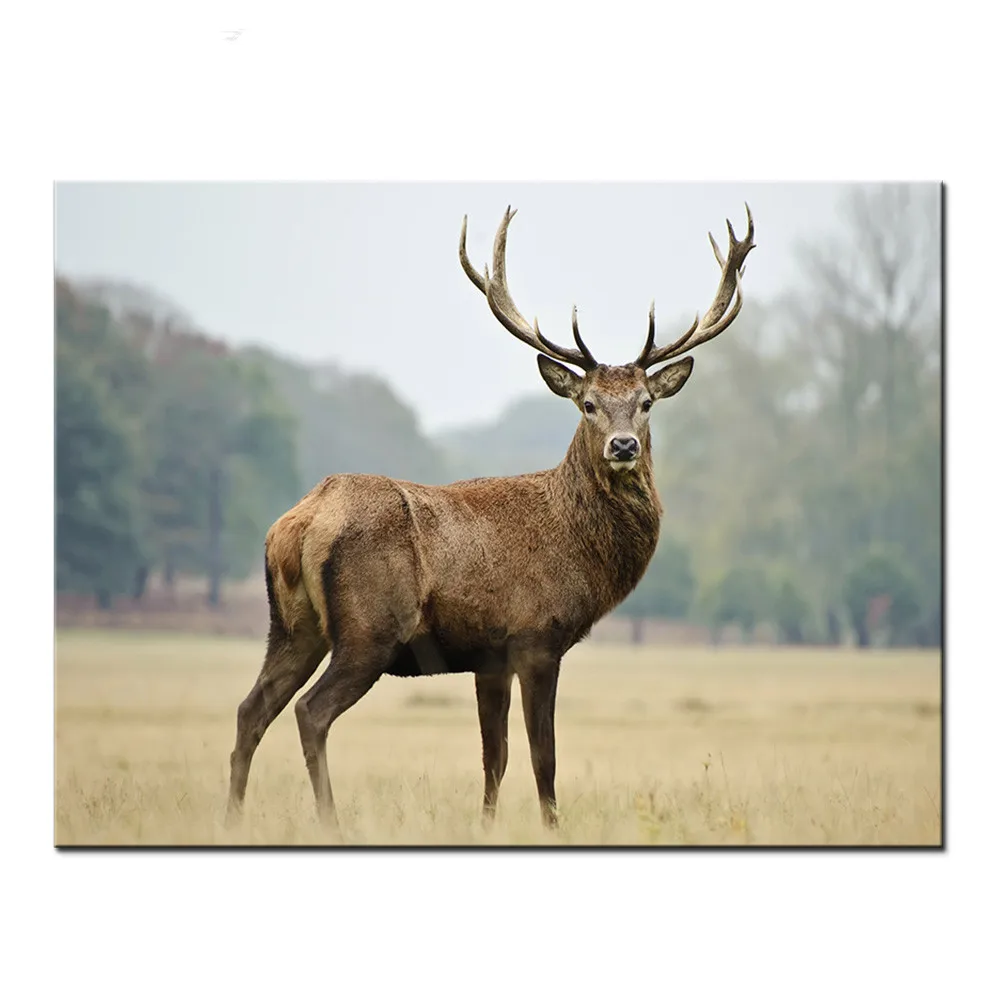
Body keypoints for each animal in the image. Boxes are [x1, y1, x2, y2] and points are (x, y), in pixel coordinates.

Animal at [226, 204, 755, 834]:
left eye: (646, 403)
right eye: (588, 404)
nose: (623, 445)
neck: (578, 549)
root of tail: (297, 524)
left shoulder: (489, 657)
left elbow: (494, 758)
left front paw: (486, 826)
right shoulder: (536, 637)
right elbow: (543, 756)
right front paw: (553, 829)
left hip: (291, 626)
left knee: (250, 709)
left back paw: (229, 818)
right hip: (367, 629)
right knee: (310, 712)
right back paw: (330, 822)